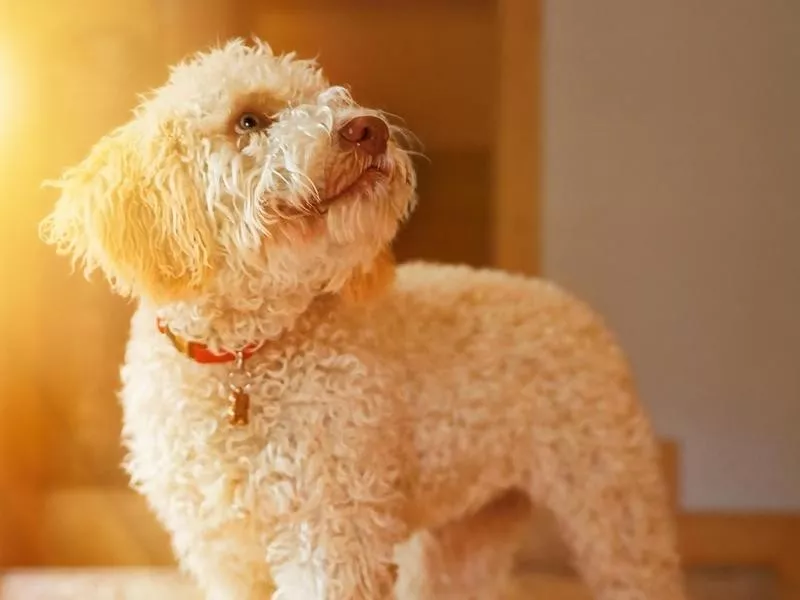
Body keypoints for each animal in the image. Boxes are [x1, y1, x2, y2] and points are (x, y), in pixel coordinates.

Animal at [39, 38, 688, 600]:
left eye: (332, 95)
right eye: (248, 120)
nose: (368, 128)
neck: (245, 355)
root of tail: (570, 302)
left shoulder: (330, 533)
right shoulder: (221, 548)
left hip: (613, 504)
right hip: (471, 533)